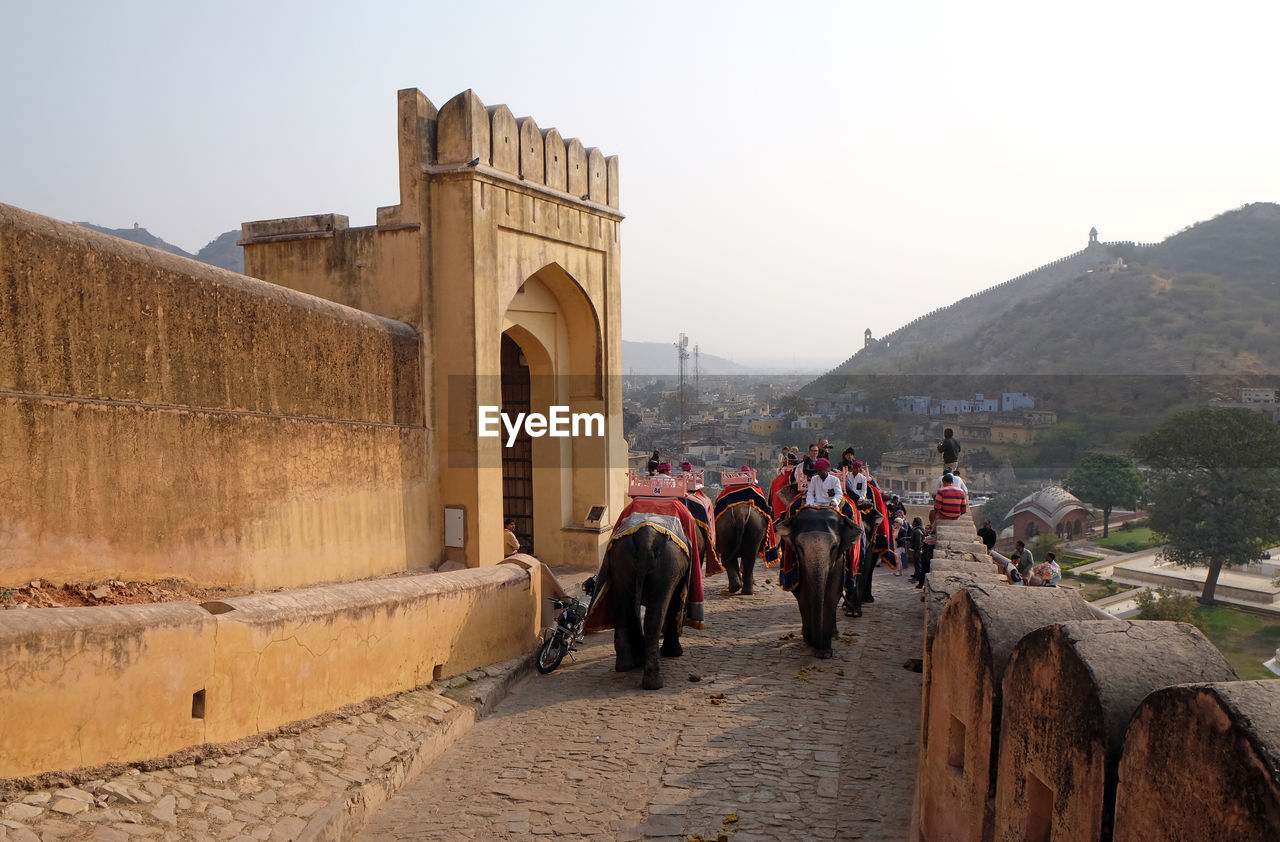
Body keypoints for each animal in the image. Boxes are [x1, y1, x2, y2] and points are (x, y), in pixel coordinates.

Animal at [604, 516, 696, 691]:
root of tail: (646, 538)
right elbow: (674, 602)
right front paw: (675, 653)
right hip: (668, 566)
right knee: (654, 616)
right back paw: (654, 683)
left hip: (620, 559)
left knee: (622, 608)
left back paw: (626, 665)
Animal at [773, 501, 865, 652]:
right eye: (799, 547)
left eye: (834, 547)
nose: (815, 642)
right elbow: (804, 593)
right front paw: (810, 640)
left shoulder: (839, 559)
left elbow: (832, 593)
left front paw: (824, 651)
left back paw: (834, 632)